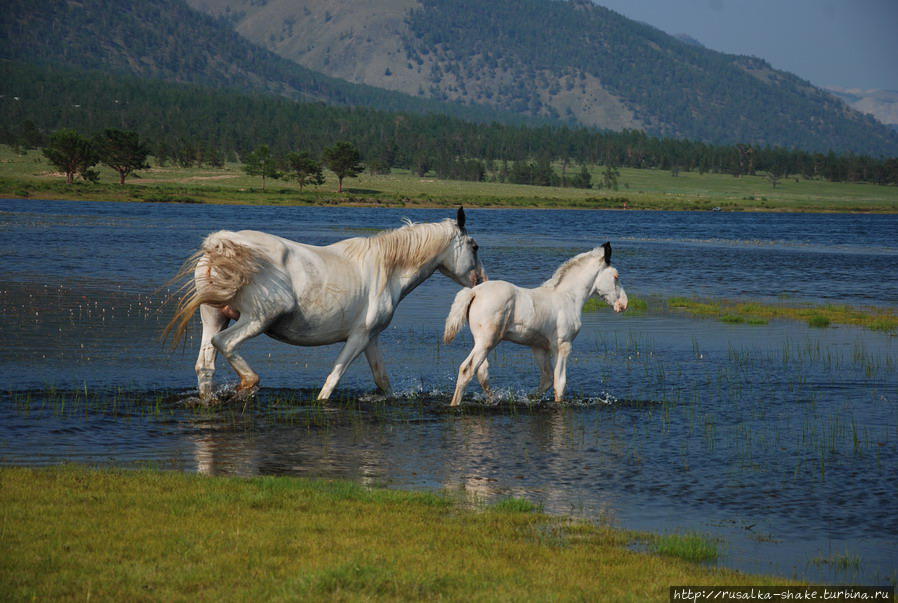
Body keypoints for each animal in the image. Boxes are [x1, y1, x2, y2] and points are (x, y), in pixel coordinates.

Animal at [442, 243, 628, 408]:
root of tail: (474, 291)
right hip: (487, 341)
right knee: (467, 369)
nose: (623, 304)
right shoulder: (563, 345)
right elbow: (560, 383)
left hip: (481, 342)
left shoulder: (539, 347)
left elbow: (547, 379)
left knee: (482, 372)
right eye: (616, 276)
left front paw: (529, 399)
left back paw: (494, 399)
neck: (569, 297)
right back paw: (455, 404)